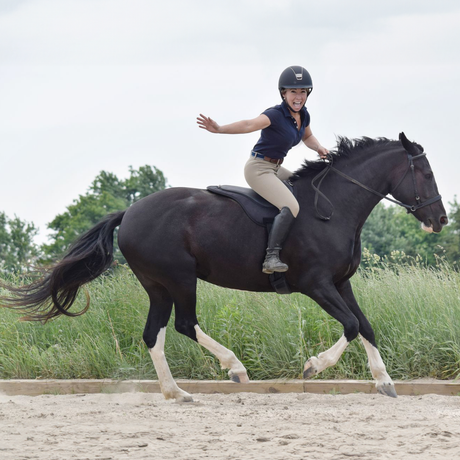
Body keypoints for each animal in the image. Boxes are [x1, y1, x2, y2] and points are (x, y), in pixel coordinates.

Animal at [0, 131, 446, 400]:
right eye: (425, 173)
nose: (440, 219)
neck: (333, 209)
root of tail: (129, 212)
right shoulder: (317, 284)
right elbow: (351, 325)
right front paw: (312, 366)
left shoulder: (341, 283)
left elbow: (366, 326)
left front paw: (385, 382)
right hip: (180, 278)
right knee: (184, 324)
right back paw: (234, 368)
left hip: (158, 285)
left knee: (154, 333)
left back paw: (177, 394)